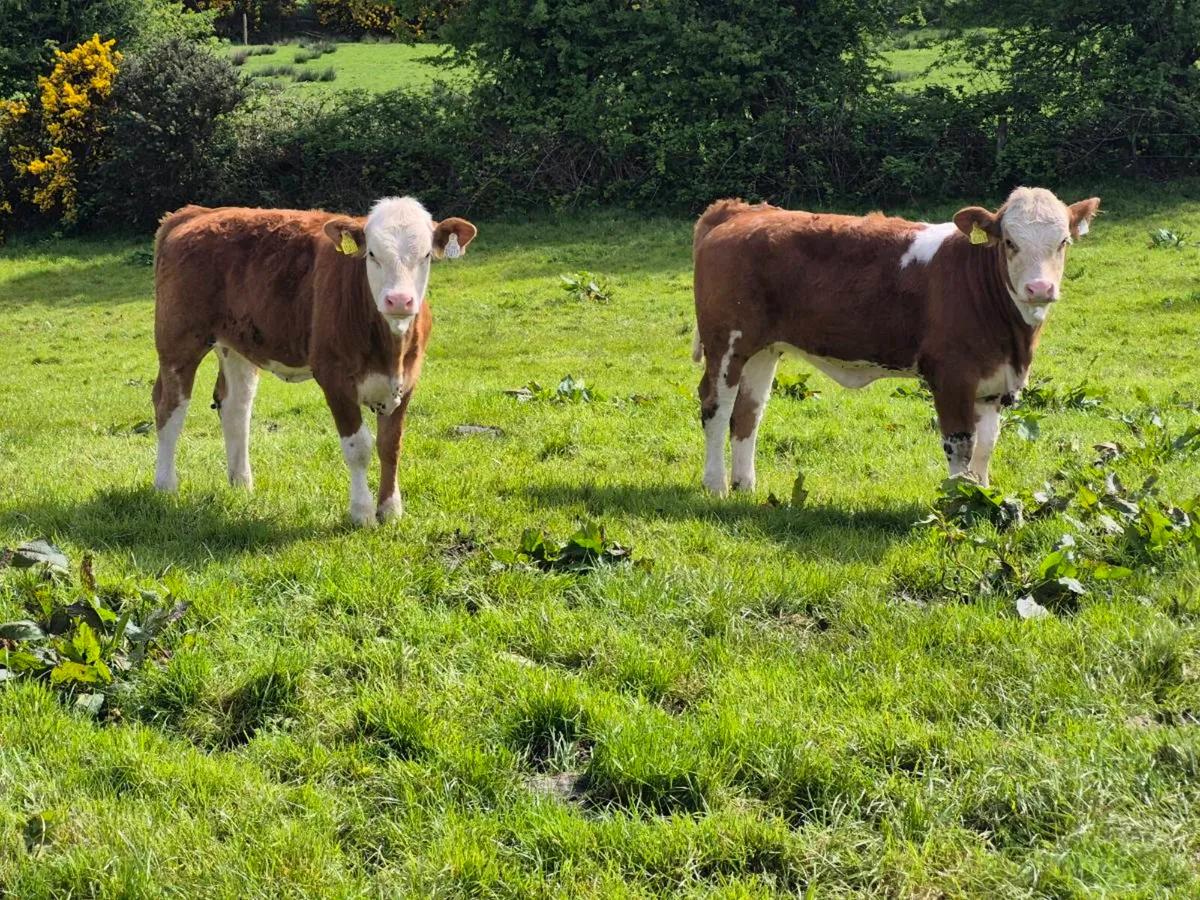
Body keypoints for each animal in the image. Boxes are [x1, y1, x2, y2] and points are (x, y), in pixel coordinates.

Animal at [151, 197, 477, 526]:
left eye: (426, 255)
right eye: (372, 254)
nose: (399, 300)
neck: (390, 350)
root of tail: (196, 212)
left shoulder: (408, 379)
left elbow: (391, 444)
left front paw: (391, 510)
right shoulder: (334, 378)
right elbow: (359, 447)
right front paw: (362, 513)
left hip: (237, 346)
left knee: (235, 408)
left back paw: (241, 484)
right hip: (178, 340)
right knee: (170, 406)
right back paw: (165, 486)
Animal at [692, 187, 1100, 494]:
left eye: (1063, 241)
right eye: (1010, 242)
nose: (1040, 288)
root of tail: (739, 211)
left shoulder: (993, 382)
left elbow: (986, 446)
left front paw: (983, 496)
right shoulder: (951, 376)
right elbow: (961, 445)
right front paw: (960, 504)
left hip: (762, 348)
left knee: (749, 412)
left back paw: (745, 485)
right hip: (726, 343)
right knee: (717, 405)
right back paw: (715, 485)